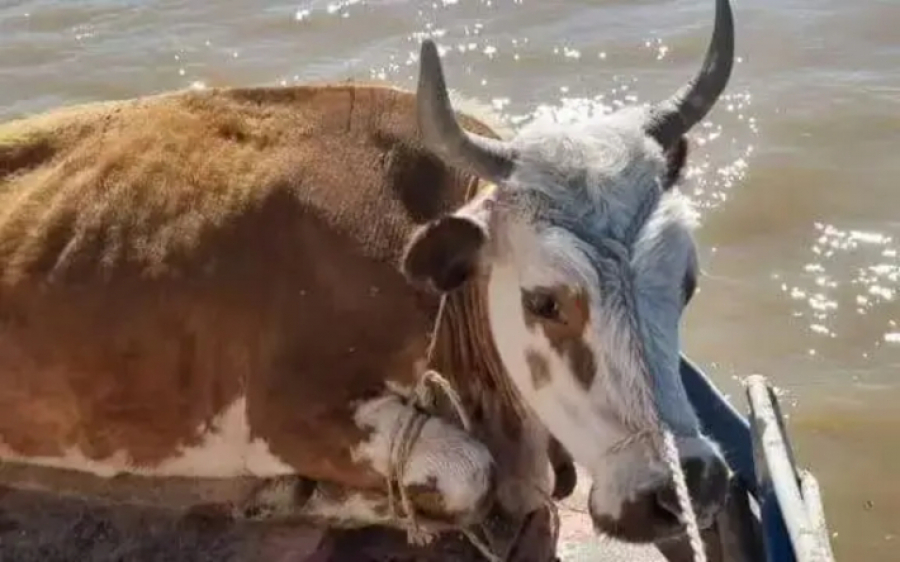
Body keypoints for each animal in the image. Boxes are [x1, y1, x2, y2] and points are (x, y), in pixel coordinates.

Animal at [0, 0, 736, 556]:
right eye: (545, 300)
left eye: (687, 284)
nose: (679, 488)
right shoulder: (286, 412)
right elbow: (468, 473)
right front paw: (310, 496)